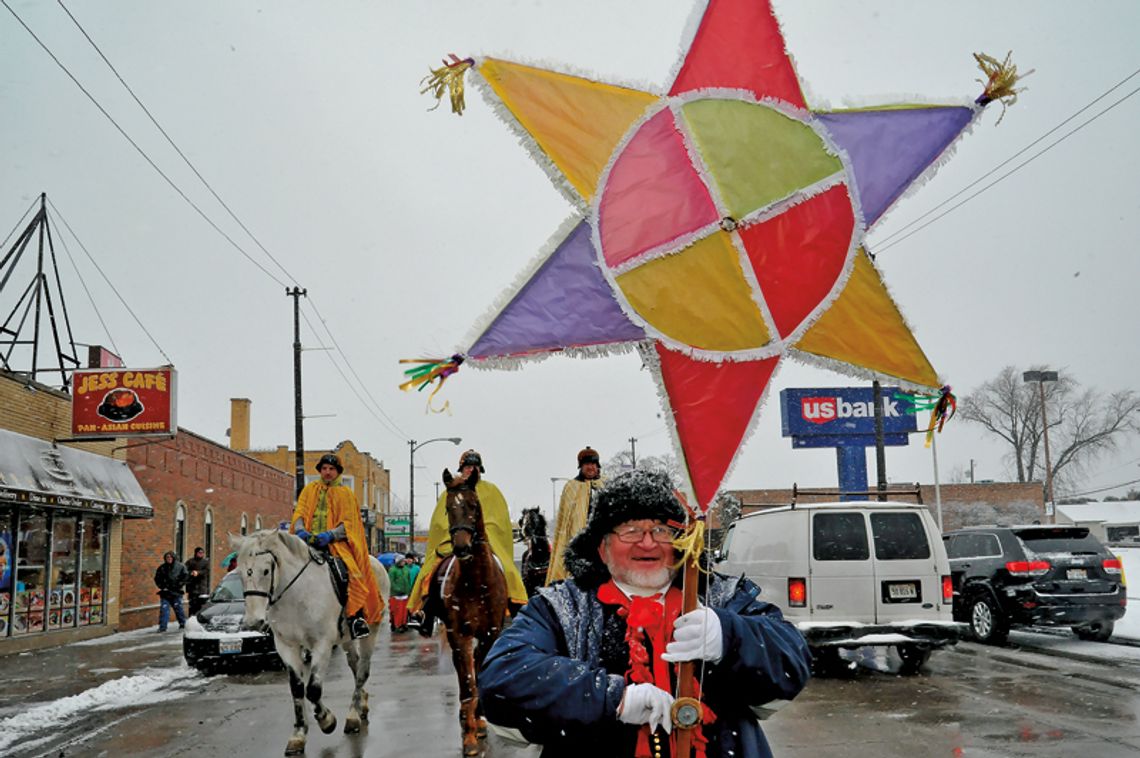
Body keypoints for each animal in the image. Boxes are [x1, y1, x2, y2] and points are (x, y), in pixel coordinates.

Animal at [229, 528, 394, 752]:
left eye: (265, 571)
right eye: (240, 573)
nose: (253, 622)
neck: (296, 596)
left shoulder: (322, 644)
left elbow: (313, 690)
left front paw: (327, 721)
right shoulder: (286, 647)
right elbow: (297, 689)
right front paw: (298, 734)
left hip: (371, 630)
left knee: (362, 671)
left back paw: (352, 716)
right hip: (346, 638)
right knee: (355, 663)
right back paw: (362, 704)